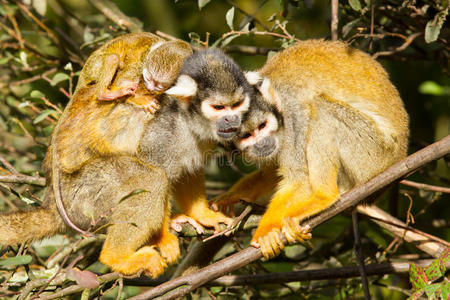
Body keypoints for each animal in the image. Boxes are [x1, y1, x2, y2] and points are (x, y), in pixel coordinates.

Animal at [0, 39, 251, 276]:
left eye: (236, 105)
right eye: (218, 107)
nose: (231, 121)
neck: (189, 118)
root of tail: (52, 202)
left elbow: (189, 169)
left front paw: (203, 214)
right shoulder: (164, 130)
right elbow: (155, 165)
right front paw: (161, 235)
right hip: (83, 196)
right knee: (148, 177)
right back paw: (117, 257)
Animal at [213, 39, 410, 258]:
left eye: (262, 126)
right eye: (246, 136)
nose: (262, 143)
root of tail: (400, 154)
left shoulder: (292, 114)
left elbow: (299, 181)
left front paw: (265, 231)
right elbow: (272, 172)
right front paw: (231, 196)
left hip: (374, 154)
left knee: (321, 110)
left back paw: (324, 196)